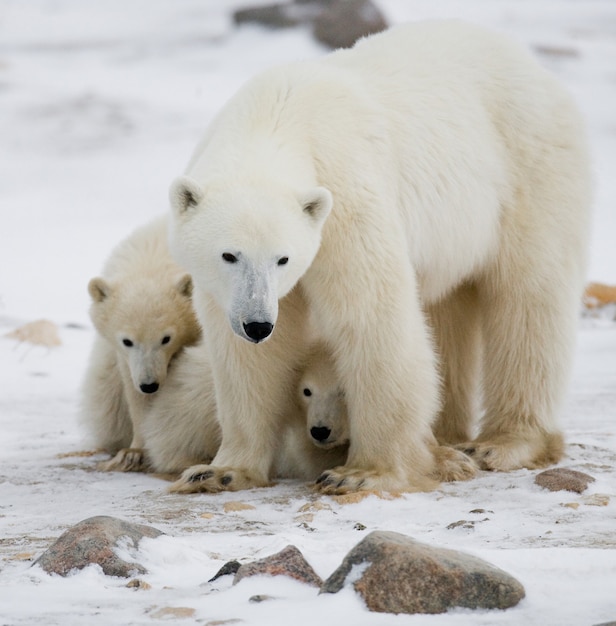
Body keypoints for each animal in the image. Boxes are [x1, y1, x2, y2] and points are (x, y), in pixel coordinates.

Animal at [80, 216, 201, 468]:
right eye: (127, 341)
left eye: (166, 338)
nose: (149, 384)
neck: (154, 258)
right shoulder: (126, 358)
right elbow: (132, 391)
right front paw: (134, 451)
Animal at [166, 20, 588, 492]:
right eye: (229, 255)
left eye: (283, 258)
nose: (258, 324)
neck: (277, 115)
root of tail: (535, 68)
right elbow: (247, 357)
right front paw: (219, 471)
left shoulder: (347, 199)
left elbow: (370, 318)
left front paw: (360, 473)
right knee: (446, 310)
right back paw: (446, 440)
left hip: (528, 169)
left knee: (528, 300)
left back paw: (501, 443)